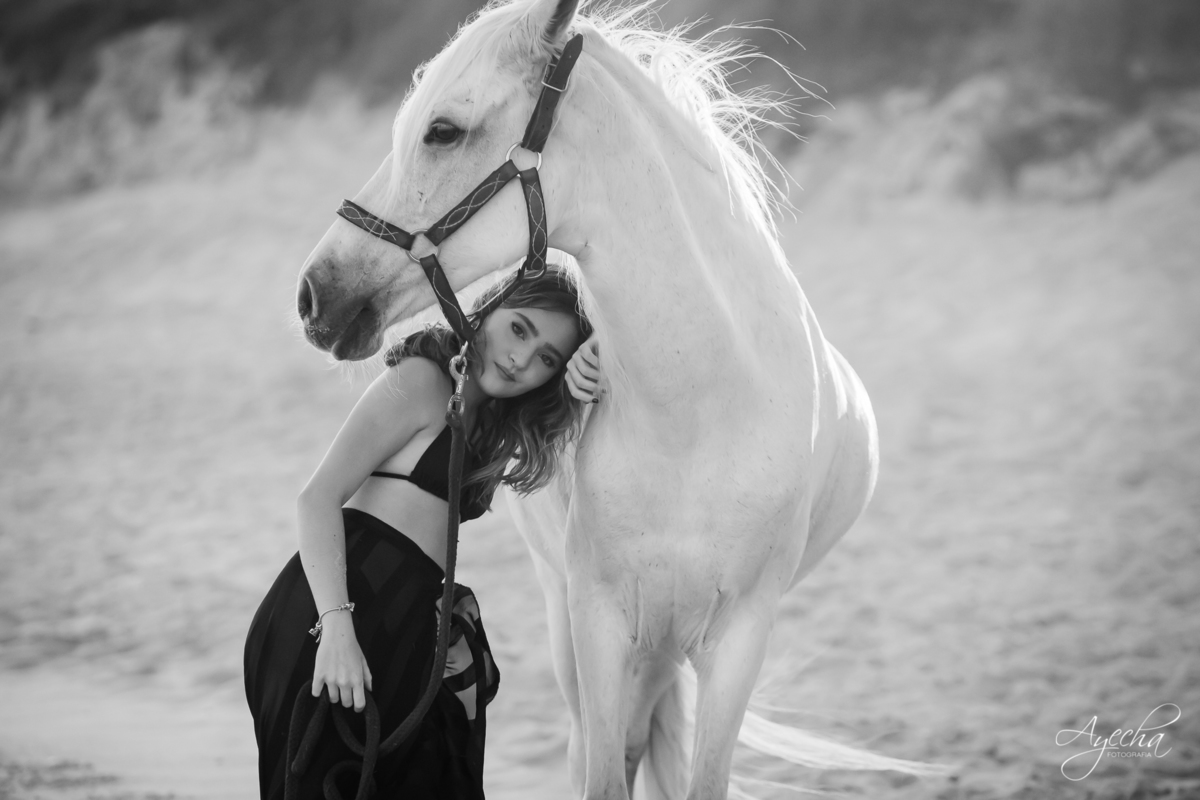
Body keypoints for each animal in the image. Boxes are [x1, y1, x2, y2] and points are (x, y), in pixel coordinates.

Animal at [295, 1, 941, 797]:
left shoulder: (739, 638)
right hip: (583, 622)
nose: (314, 293)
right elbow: (602, 775)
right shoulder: (598, 622)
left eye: (443, 130)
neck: (699, 415)